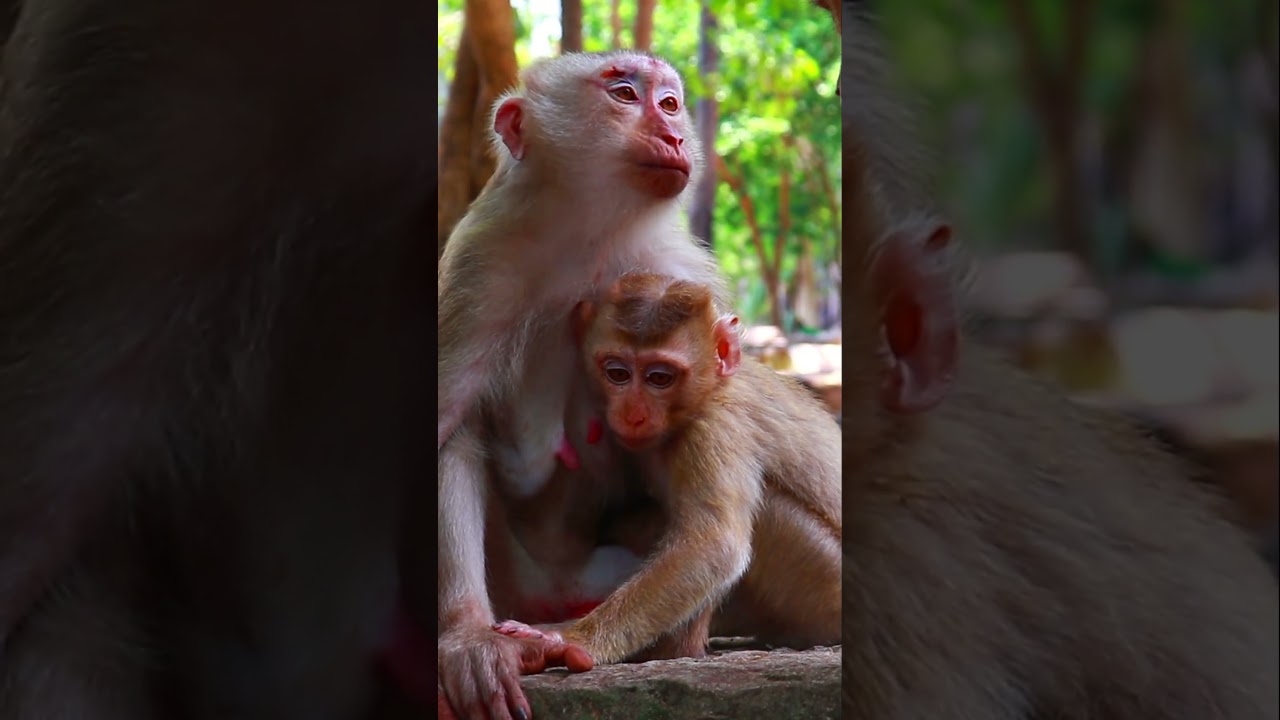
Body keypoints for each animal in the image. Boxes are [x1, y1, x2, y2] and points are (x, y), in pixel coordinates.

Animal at [435, 50, 732, 720]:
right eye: (624, 94)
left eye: (670, 103)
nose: (675, 135)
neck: (591, 235)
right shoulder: (478, 266)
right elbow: (448, 426)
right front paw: (466, 639)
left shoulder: (681, 276)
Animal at [493, 270, 842, 666]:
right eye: (617, 373)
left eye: (660, 378)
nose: (633, 413)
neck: (705, 393)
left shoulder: (716, 427)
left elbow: (712, 547)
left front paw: (569, 637)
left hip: (824, 583)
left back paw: (678, 649)